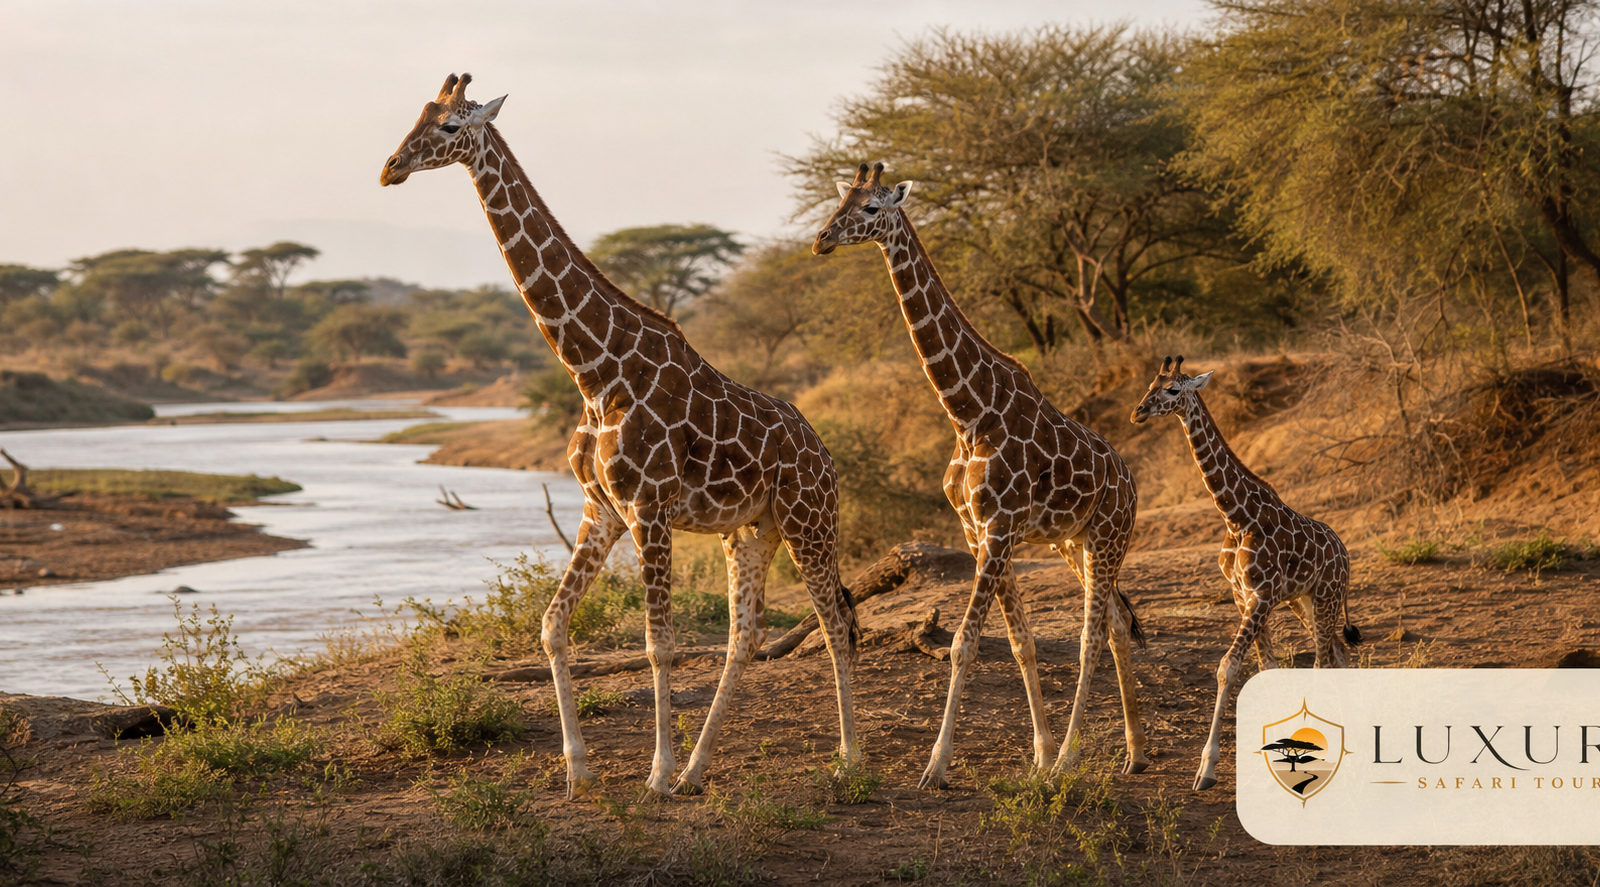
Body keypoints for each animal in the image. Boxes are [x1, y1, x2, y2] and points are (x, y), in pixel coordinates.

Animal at [381, 74, 861, 799]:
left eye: (448, 128)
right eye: (418, 114)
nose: (390, 168)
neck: (594, 371)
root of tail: (825, 454)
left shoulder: (648, 508)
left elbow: (658, 643)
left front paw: (654, 774)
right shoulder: (599, 508)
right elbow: (552, 624)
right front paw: (579, 770)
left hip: (810, 520)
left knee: (834, 621)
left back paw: (848, 758)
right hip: (752, 530)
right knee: (746, 635)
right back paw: (697, 770)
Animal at [813, 162, 1149, 789]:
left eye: (871, 208)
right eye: (839, 201)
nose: (821, 240)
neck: (968, 413)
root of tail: (1131, 483)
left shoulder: (998, 530)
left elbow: (965, 644)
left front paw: (937, 767)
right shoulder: (979, 532)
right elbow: (1021, 642)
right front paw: (1038, 755)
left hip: (1109, 535)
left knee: (1093, 633)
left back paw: (1073, 760)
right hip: (1074, 542)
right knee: (1116, 621)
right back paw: (1134, 753)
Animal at [1130, 356, 1361, 790]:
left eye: (1172, 390)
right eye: (1149, 385)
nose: (1137, 412)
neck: (1236, 516)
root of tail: (1344, 554)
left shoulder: (1262, 596)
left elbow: (1228, 667)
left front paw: (1206, 769)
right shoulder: (1244, 596)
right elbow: (1266, 668)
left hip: (1325, 596)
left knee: (1325, 659)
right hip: (1303, 601)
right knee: (1340, 655)